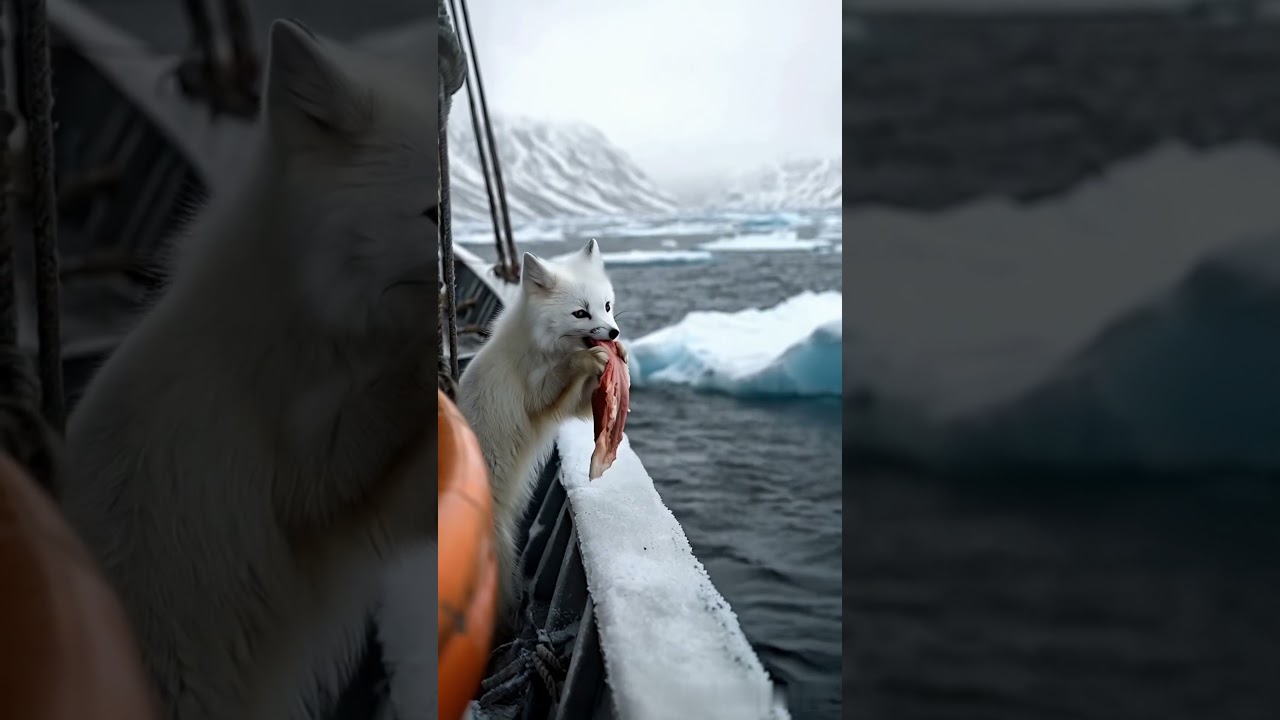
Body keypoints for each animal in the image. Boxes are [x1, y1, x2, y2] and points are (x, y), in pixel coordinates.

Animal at [454, 239, 626, 633]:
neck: (543, 345)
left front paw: (618, 356)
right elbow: (564, 375)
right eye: (580, 313)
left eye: (607, 306)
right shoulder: (536, 396)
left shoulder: (569, 406)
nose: (613, 334)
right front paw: (588, 360)